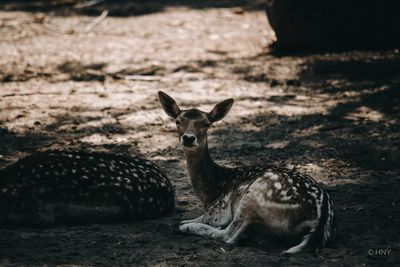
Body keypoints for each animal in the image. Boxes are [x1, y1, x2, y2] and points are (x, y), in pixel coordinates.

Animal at [158, 92, 336, 255]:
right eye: (178, 121)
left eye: (206, 123)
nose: (188, 138)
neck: (212, 189)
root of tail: (320, 220)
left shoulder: (220, 209)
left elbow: (203, 219)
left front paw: (185, 223)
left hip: (255, 193)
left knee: (229, 235)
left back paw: (188, 227)